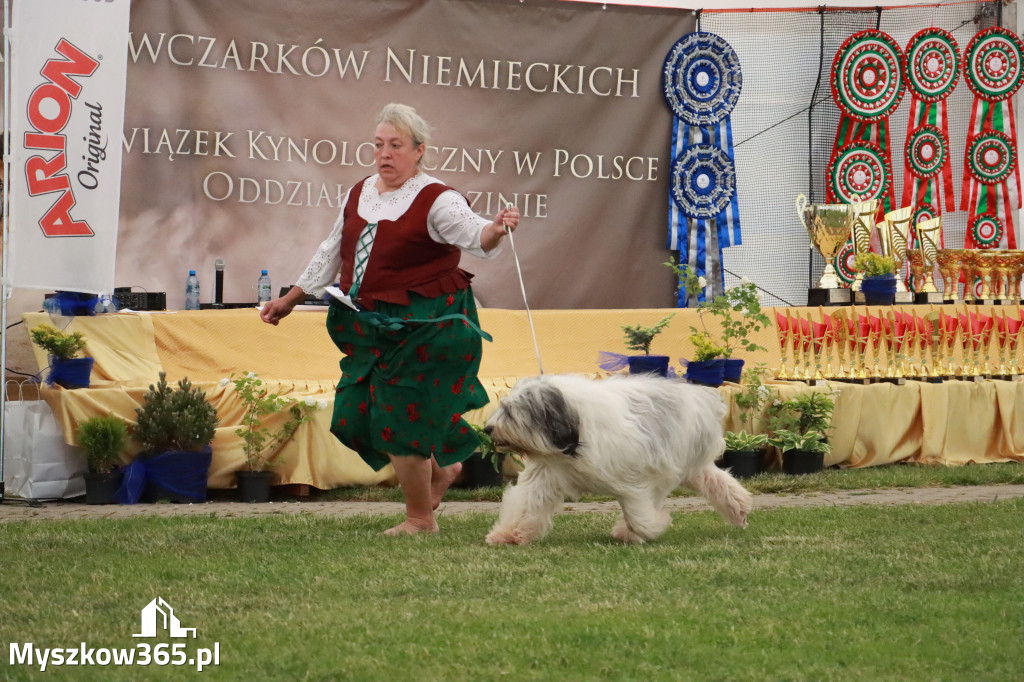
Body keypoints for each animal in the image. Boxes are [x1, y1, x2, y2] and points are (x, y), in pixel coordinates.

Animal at [483, 372, 749, 540]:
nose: (487, 429)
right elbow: (526, 503)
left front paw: (649, 528)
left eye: (509, 411)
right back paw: (740, 507)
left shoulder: (636, 480)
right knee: (716, 479)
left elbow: (639, 514)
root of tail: (699, 395)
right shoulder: (547, 472)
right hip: (689, 466)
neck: (575, 427)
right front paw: (509, 534)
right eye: (502, 407)